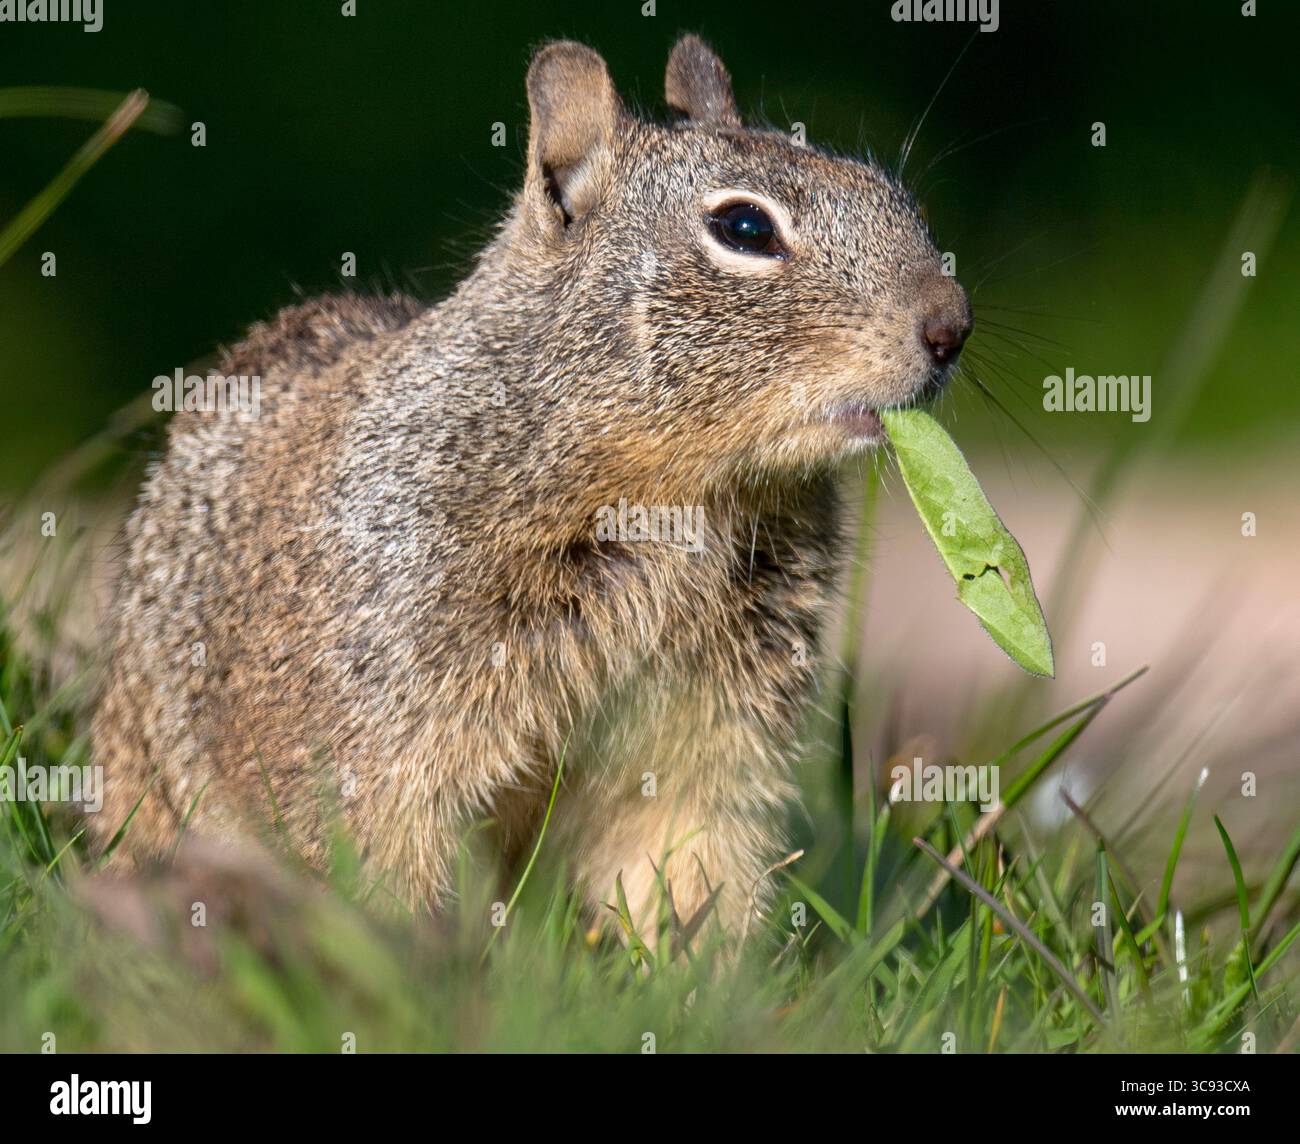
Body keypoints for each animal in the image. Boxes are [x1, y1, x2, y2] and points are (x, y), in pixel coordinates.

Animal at [92, 36, 972, 938]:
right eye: (745, 227)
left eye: (894, 196)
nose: (952, 325)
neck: (691, 498)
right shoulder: (385, 721)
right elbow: (377, 859)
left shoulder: (716, 728)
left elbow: (685, 858)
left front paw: (695, 965)